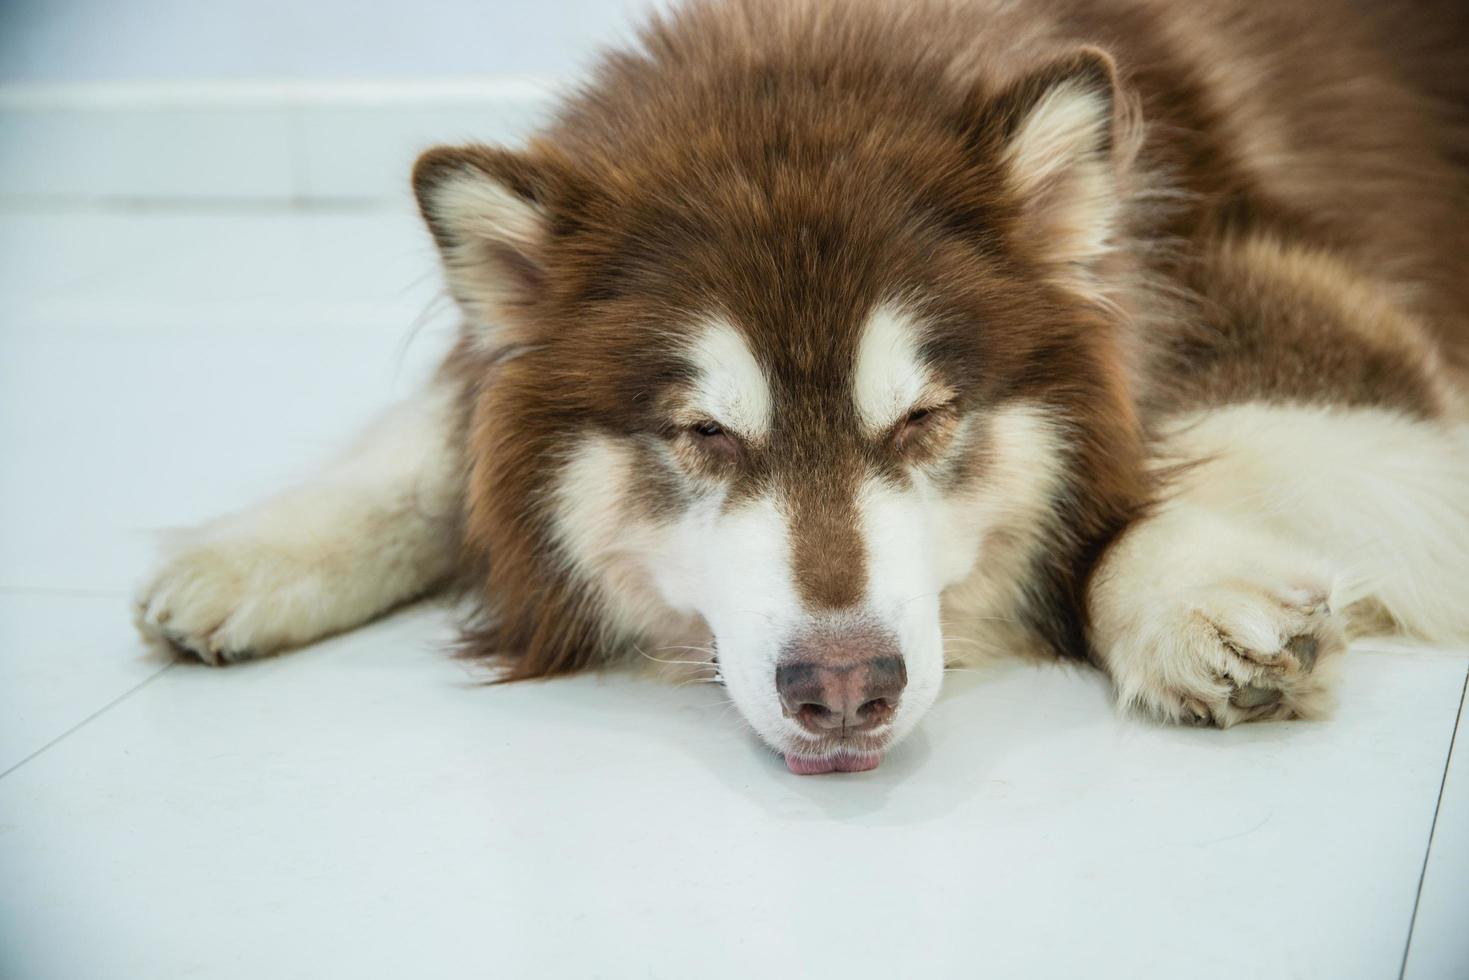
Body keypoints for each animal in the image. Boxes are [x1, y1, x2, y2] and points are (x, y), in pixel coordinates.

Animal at [132, 0, 1463, 775]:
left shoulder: (1303, 312)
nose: (843, 690)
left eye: (923, 419)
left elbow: (1176, 459)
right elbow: (440, 443)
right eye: (703, 433)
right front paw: (259, 549)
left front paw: (1185, 592)